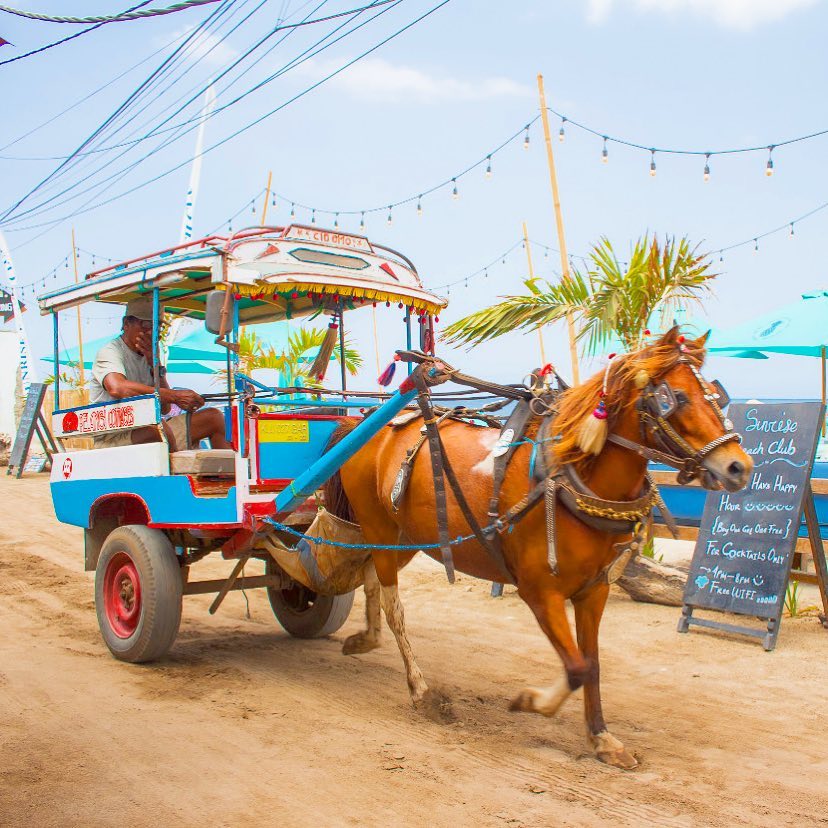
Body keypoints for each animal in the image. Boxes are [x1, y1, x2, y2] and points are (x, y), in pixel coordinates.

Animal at [326, 326, 752, 768]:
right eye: (675, 397)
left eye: (717, 395)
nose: (739, 466)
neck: (571, 477)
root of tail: (363, 422)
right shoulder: (540, 592)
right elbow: (576, 668)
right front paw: (531, 702)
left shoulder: (594, 590)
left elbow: (592, 663)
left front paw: (601, 737)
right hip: (379, 525)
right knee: (393, 603)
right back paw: (420, 688)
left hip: (408, 535)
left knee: (370, 574)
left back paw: (366, 638)